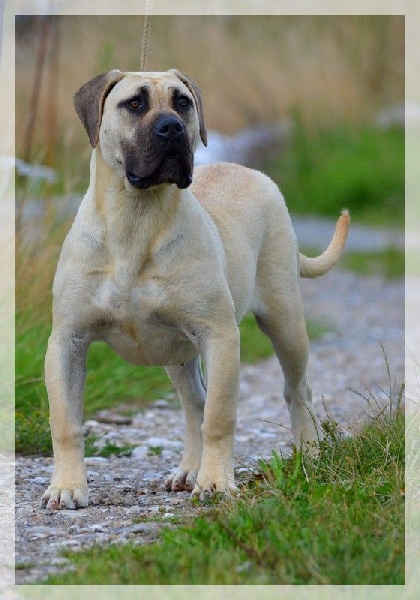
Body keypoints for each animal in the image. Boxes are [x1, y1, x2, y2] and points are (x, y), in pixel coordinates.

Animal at [42, 70, 350, 510]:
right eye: (134, 103)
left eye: (182, 102)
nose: (171, 127)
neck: (134, 218)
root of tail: (254, 173)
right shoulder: (68, 341)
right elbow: (65, 421)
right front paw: (67, 487)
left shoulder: (219, 336)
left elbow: (220, 417)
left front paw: (217, 483)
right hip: (179, 353)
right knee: (194, 404)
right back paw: (190, 469)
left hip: (285, 321)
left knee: (296, 390)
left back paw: (308, 453)